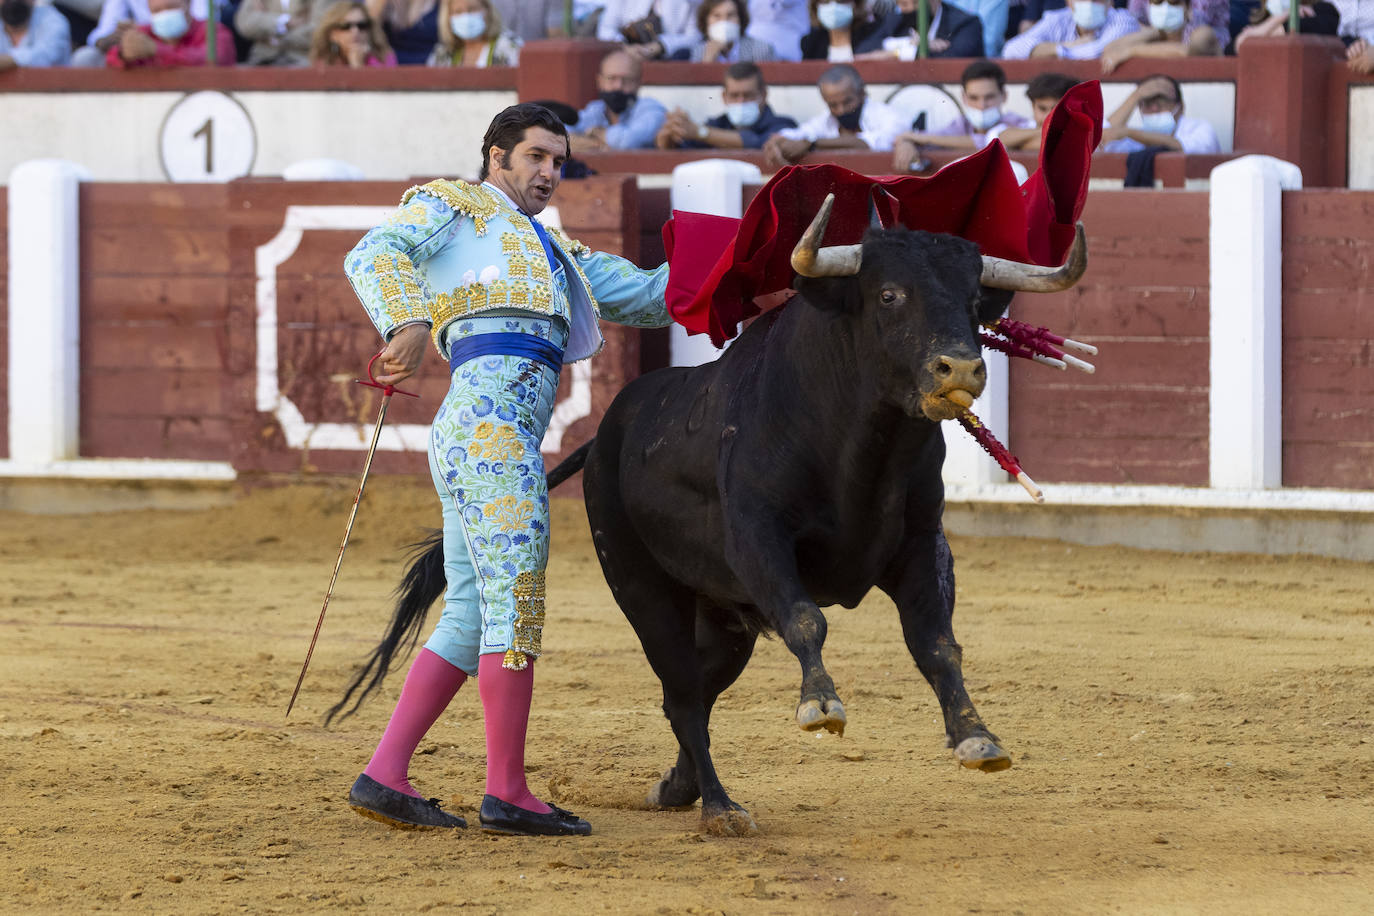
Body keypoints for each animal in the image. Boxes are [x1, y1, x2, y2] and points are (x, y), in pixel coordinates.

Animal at [332, 201, 1082, 840]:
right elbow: (808, 619)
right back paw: (719, 807)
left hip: (726, 621)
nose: (961, 369)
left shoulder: (922, 546)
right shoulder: (760, 538)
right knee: (684, 694)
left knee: (690, 690)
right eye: (891, 294)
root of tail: (603, 439)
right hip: (643, 591)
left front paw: (977, 737)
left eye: (972, 300)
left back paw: (680, 786)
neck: (861, 443)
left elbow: (937, 644)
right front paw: (821, 706)